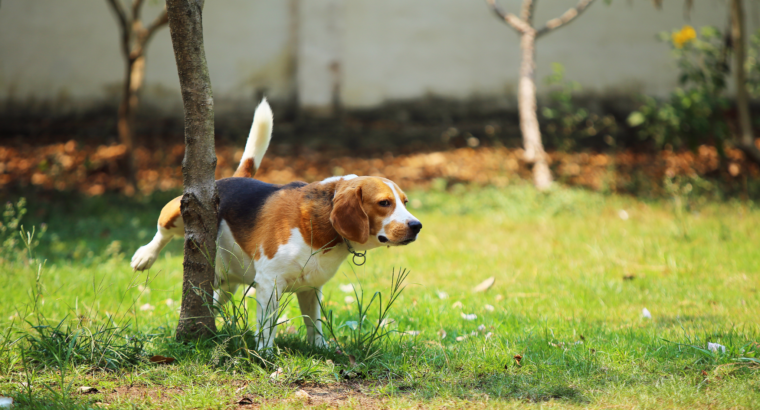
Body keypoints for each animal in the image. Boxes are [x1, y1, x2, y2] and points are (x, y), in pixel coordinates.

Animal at [134, 98, 424, 346]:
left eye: (405, 201)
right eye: (384, 203)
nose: (417, 226)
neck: (321, 227)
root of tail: (234, 177)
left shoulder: (311, 288)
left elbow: (314, 324)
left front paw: (322, 350)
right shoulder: (269, 284)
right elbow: (267, 329)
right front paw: (265, 356)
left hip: (226, 281)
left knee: (217, 299)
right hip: (178, 209)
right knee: (162, 231)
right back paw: (144, 256)